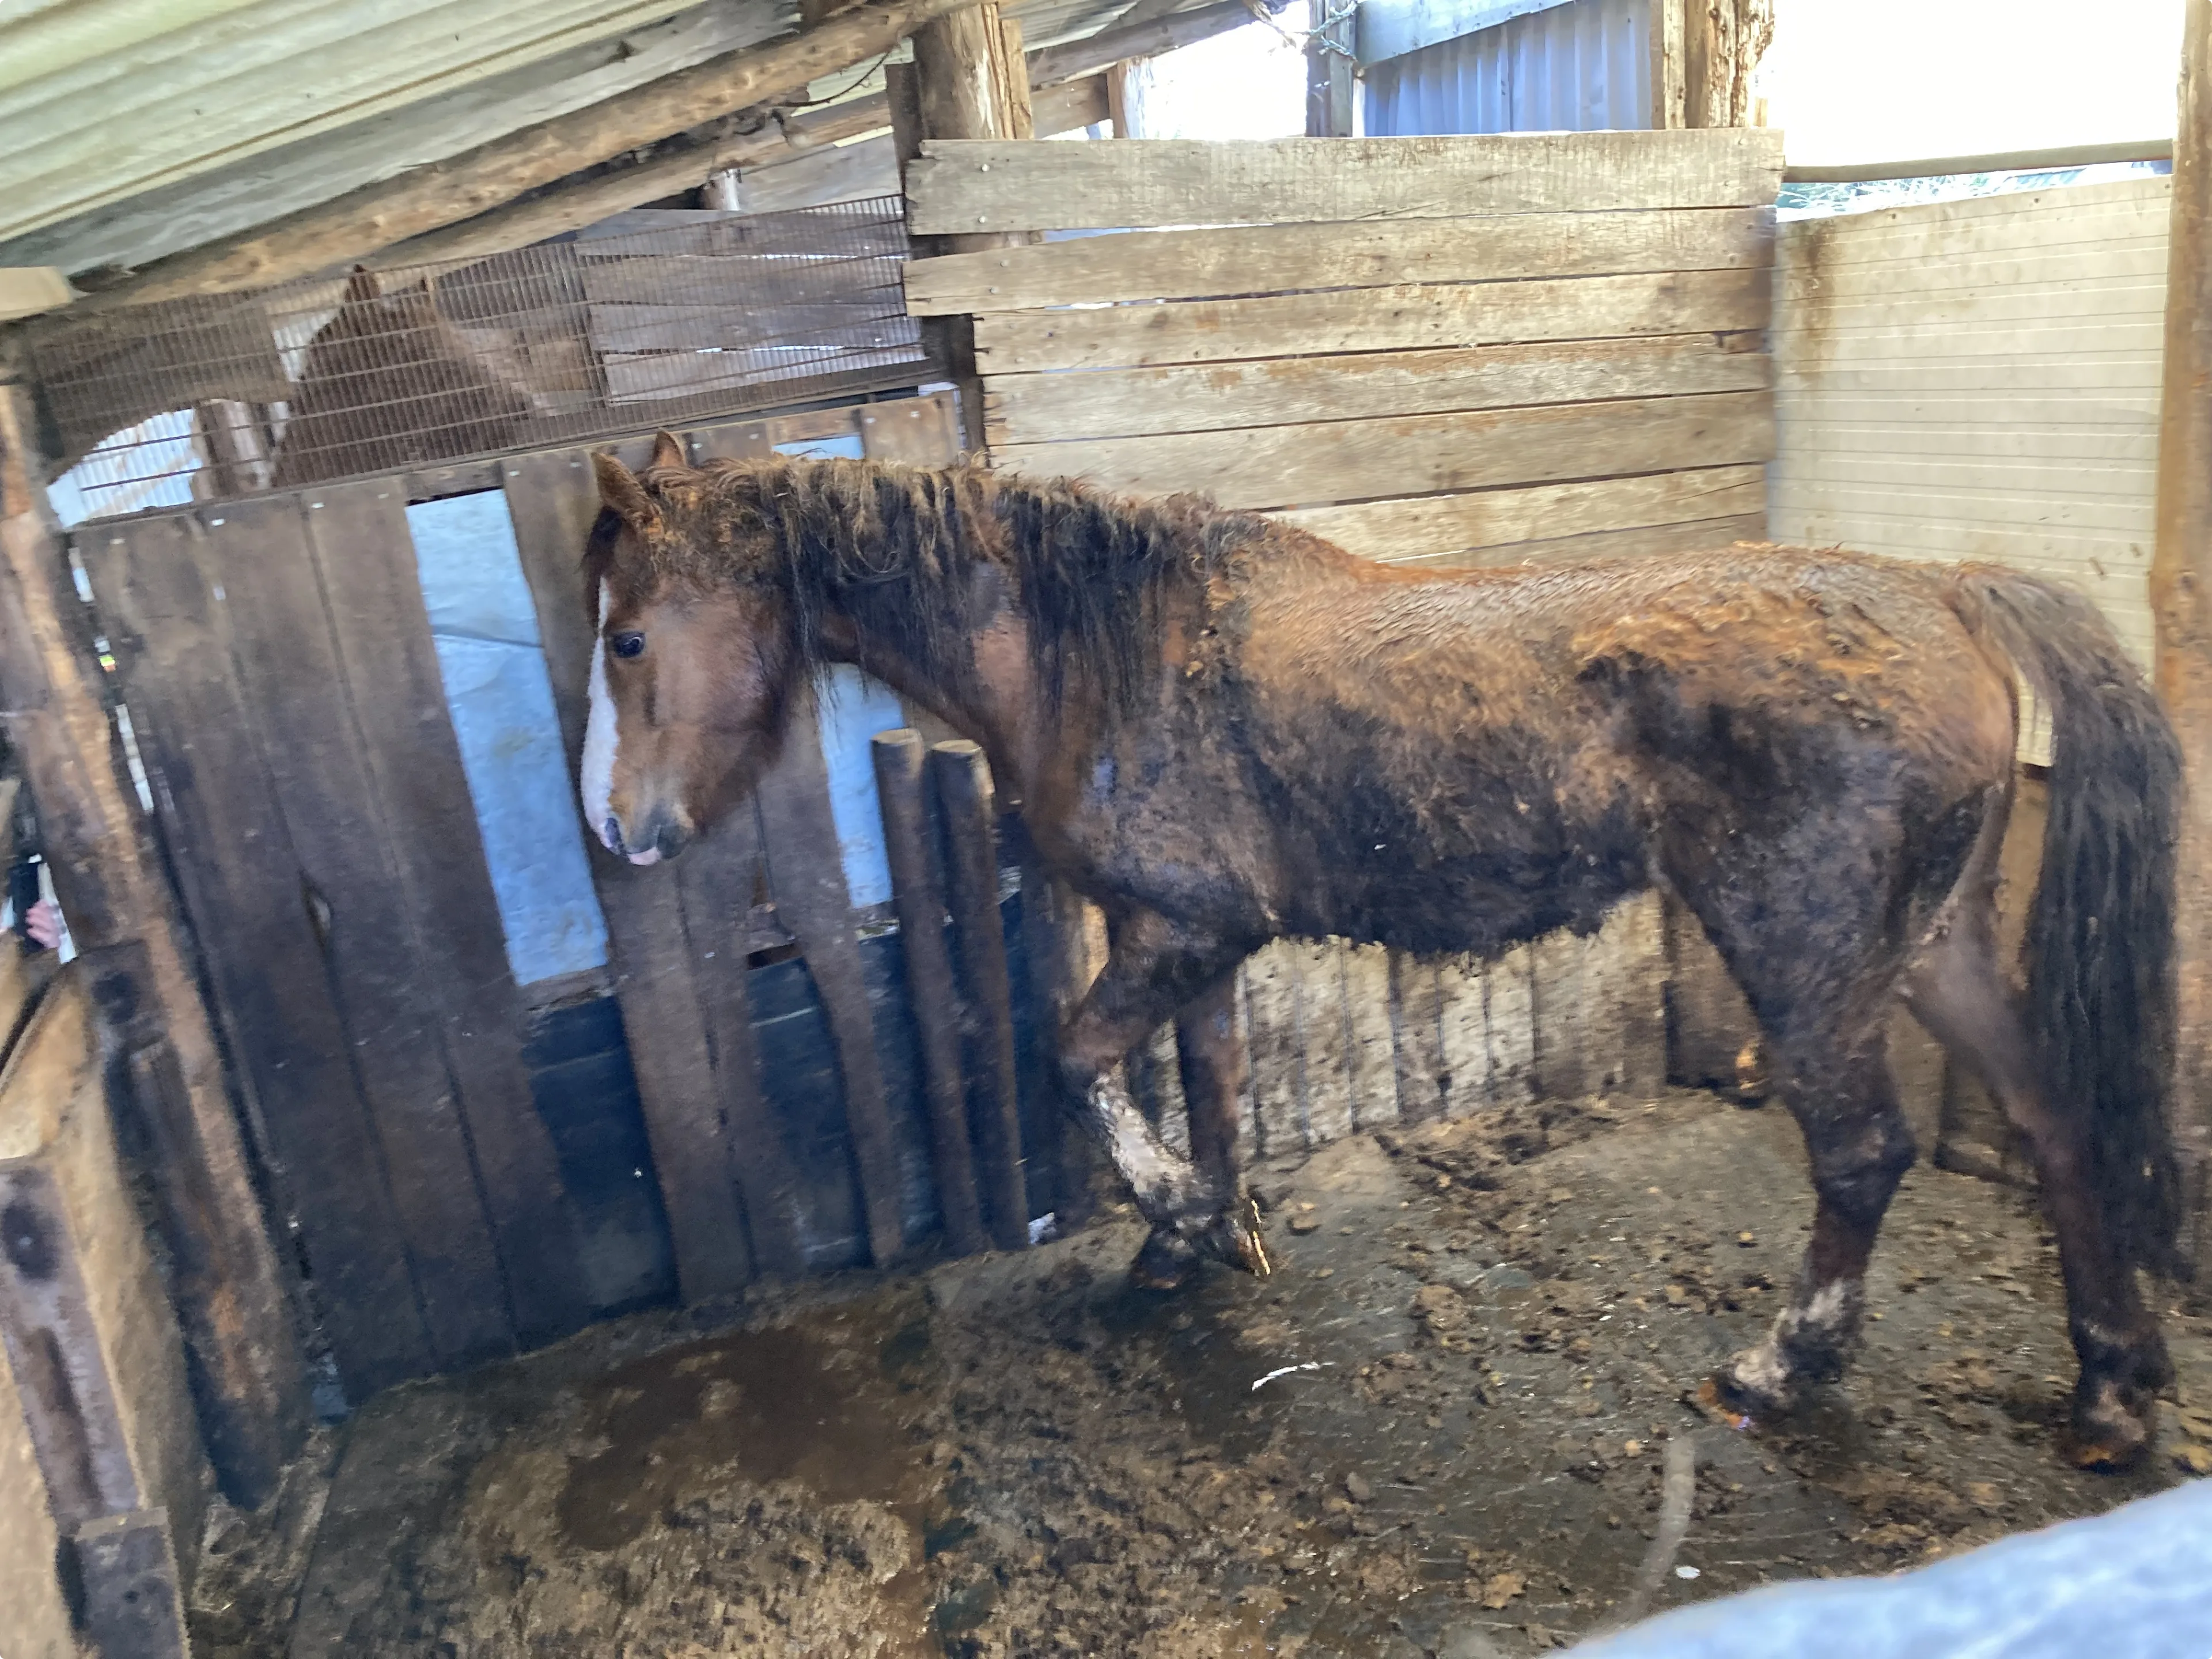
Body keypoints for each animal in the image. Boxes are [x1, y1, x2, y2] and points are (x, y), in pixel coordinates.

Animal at [576, 432, 2183, 1471]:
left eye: (627, 638)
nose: (624, 833)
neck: (1099, 652)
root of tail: (1951, 591)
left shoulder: (1178, 931)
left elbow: (1076, 1057)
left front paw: (1173, 1211)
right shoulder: (1197, 944)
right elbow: (1213, 1084)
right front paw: (1195, 1236)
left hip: (1806, 957)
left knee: (1860, 1153)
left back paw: (1778, 1368)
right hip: (1931, 947)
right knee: (2051, 1120)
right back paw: (2110, 1391)